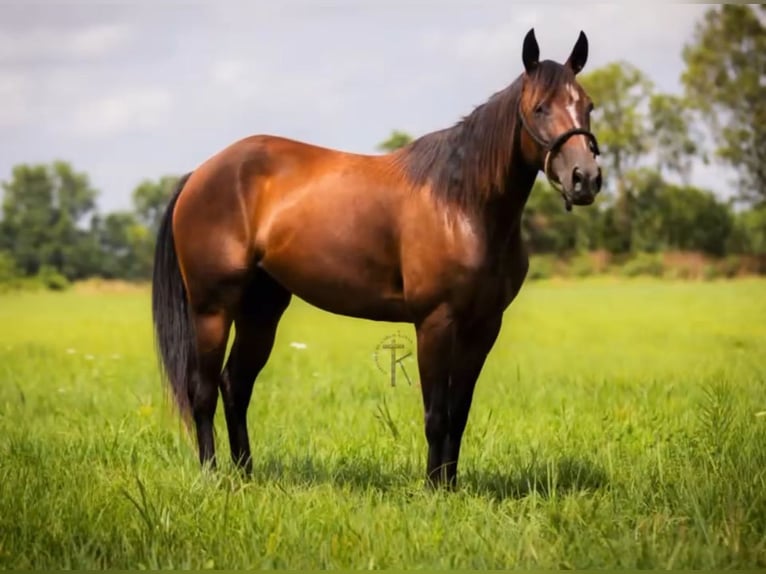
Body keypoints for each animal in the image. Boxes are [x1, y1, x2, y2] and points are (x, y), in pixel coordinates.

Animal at [151, 28, 602, 488]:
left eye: (587, 105)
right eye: (540, 107)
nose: (584, 179)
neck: (462, 204)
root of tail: (200, 174)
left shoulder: (484, 326)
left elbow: (458, 414)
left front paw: (451, 485)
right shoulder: (435, 322)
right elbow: (436, 415)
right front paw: (434, 489)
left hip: (261, 309)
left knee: (235, 386)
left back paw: (245, 473)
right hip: (212, 308)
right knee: (203, 390)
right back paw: (212, 476)